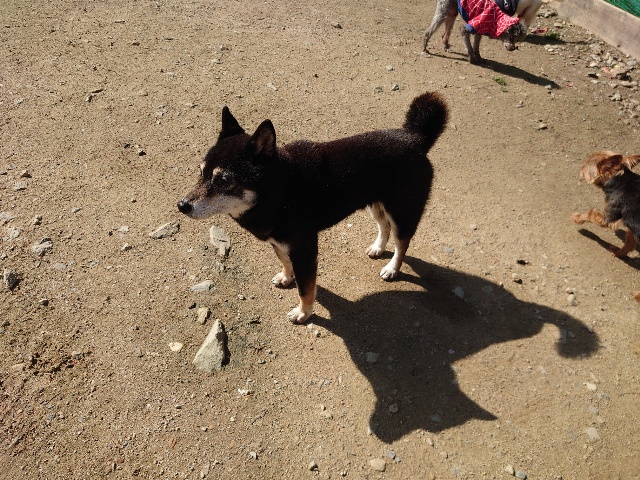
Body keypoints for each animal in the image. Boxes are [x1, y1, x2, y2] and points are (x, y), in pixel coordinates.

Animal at [178, 93, 448, 323]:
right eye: (200, 172)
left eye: (223, 180)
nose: (182, 205)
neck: (279, 192)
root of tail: (415, 138)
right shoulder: (280, 242)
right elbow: (285, 262)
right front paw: (286, 277)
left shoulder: (305, 250)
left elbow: (306, 289)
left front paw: (303, 313)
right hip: (375, 204)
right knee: (384, 227)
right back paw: (377, 248)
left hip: (402, 210)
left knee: (402, 242)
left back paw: (392, 268)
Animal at [572, 151, 640, 302]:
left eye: (586, 164)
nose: (580, 167)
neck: (621, 180)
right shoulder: (631, 223)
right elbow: (629, 242)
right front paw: (619, 252)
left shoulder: (607, 218)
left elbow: (590, 214)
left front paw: (578, 218)